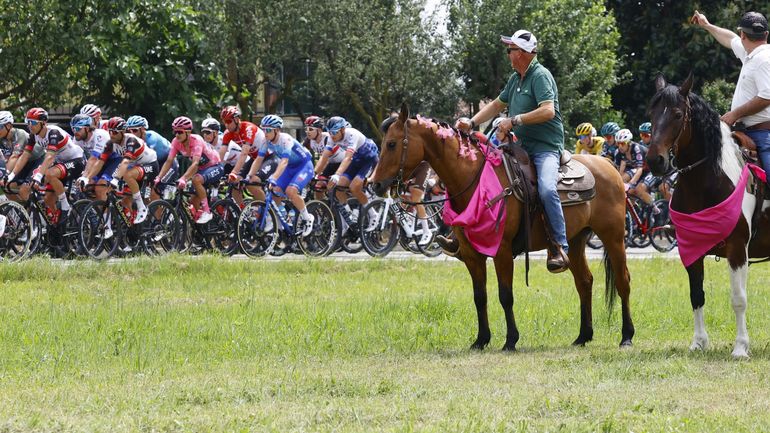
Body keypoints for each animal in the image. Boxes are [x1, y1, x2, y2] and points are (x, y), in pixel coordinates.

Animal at [368, 103, 632, 350]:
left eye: (391, 144)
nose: (375, 184)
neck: (474, 180)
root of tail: (608, 166)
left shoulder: (502, 251)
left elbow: (506, 295)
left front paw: (511, 340)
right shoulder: (471, 254)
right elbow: (480, 296)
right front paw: (481, 339)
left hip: (613, 237)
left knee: (622, 282)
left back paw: (627, 336)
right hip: (576, 241)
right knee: (584, 282)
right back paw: (583, 336)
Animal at [644, 74, 768, 358]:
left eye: (678, 114)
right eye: (651, 114)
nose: (655, 161)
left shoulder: (737, 249)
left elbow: (739, 299)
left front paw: (740, 347)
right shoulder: (691, 248)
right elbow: (696, 295)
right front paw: (699, 343)